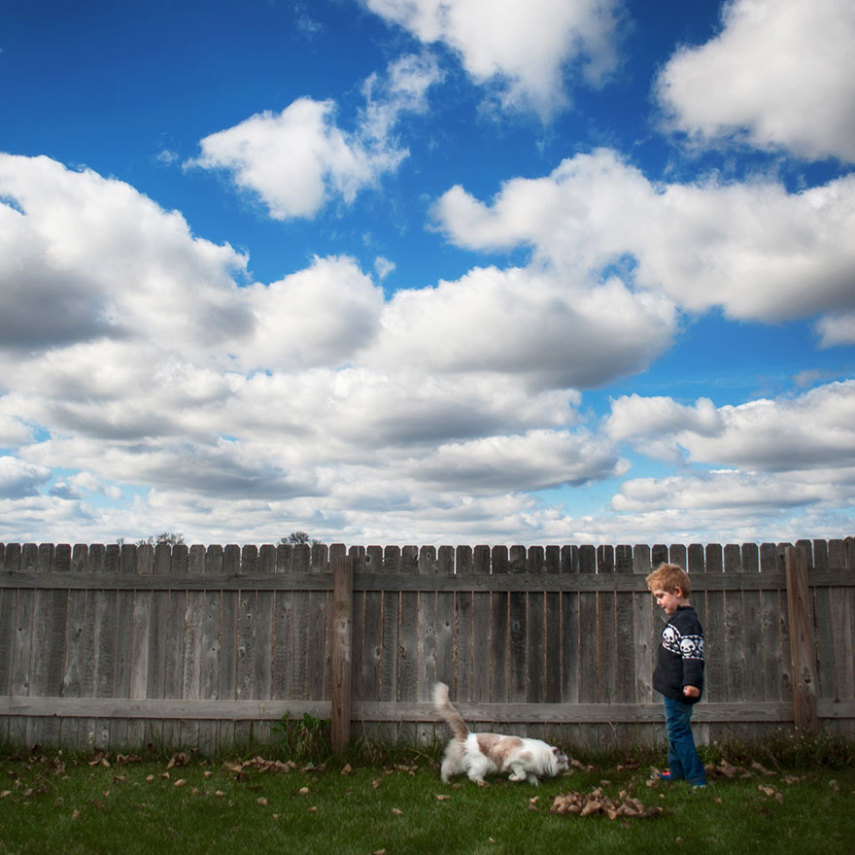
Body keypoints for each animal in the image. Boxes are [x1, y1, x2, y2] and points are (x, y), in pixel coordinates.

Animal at [434, 684, 568, 784]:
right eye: (565, 761)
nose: (568, 767)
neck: (544, 756)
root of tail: (468, 734)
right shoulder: (516, 763)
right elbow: (522, 775)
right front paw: (513, 778)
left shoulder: (530, 770)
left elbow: (531, 778)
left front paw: (536, 786)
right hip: (482, 764)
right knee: (471, 775)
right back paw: (483, 783)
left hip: (459, 762)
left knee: (446, 766)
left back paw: (445, 781)